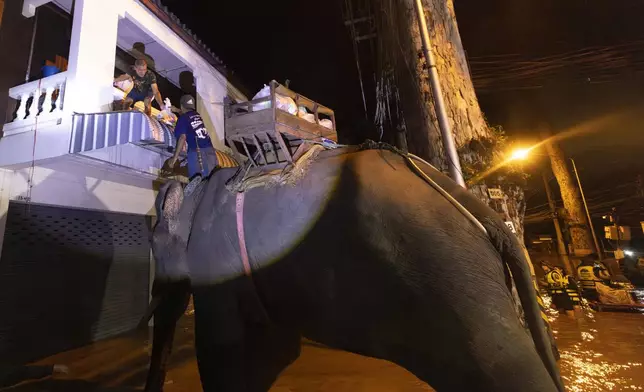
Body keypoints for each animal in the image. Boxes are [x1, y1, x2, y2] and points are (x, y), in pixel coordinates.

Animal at [146, 145, 564, 392]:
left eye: (153, 242)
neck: (198, 186)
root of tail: (485, 215)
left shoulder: (214, 259)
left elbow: (224, 352)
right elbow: (276, 352)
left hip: (458, 288)